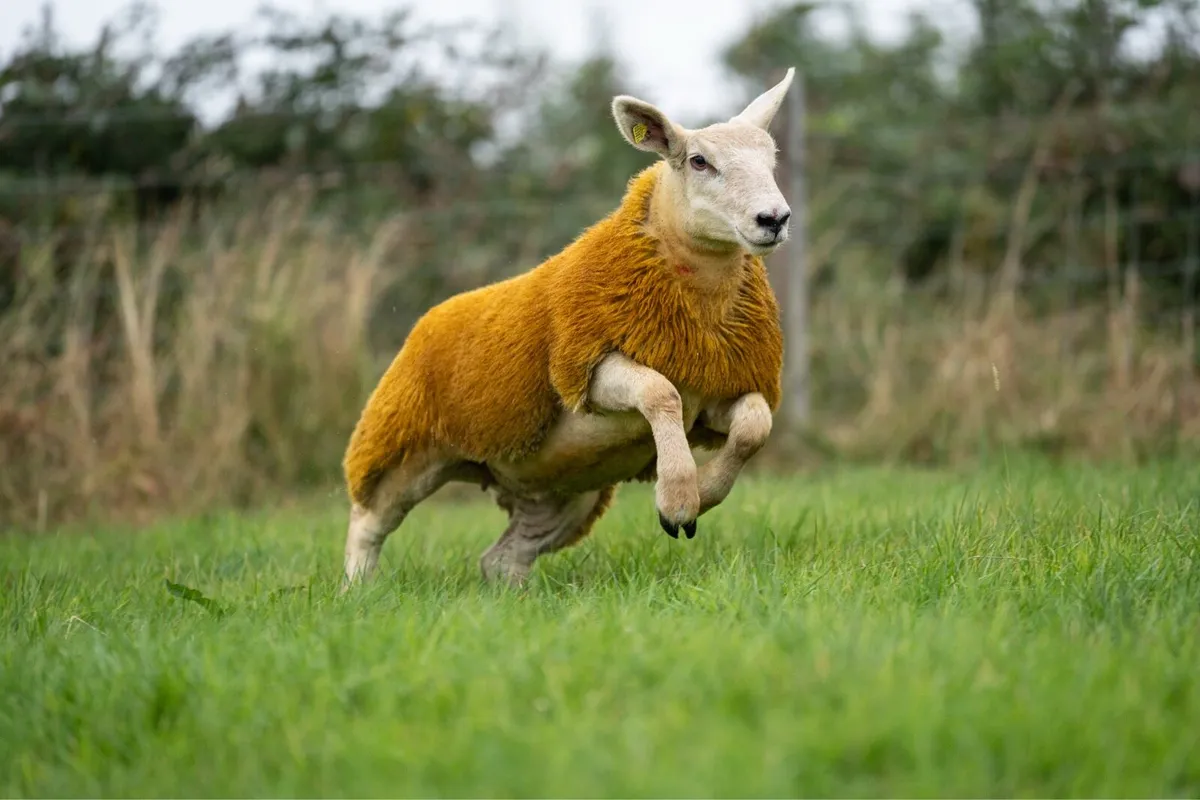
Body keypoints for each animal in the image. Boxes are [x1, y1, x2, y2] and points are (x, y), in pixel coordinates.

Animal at [342, 67, 797, 587]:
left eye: (771, 158)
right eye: (699, 161)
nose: (774, 219)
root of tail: (429, 318)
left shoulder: (716, 394)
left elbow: (754, 425)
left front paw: (703, 493)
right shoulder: (584, 367)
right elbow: (661, 392)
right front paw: (678, 503)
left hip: (563, 490)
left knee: (503, 557)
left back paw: (513, 597)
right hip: (401, 446)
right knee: (369, 523)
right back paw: (357, 590)